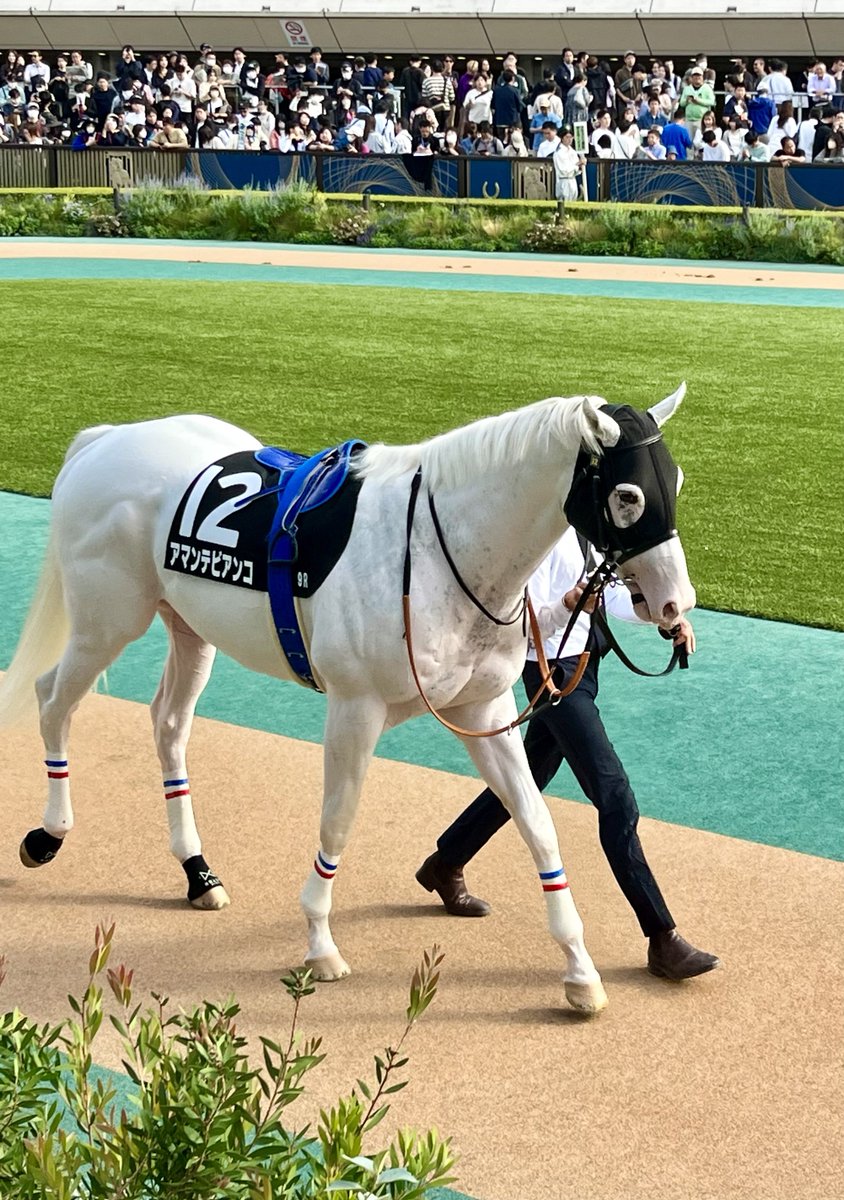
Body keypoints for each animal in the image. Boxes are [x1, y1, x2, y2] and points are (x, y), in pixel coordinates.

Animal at [0, 385, 694, 1014]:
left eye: (678, 481)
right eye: (628, 495)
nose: (675, 603)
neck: (437, 555)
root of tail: (105, 439)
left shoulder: (485, 712)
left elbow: (538, 827)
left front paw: (580, 970)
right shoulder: (356, 707)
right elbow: (339, 818)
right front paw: (319, 942)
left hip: (190, 627)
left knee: (168, 724)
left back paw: (197, 871)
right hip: (108, 619)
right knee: (52, 699)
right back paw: (48, 834)